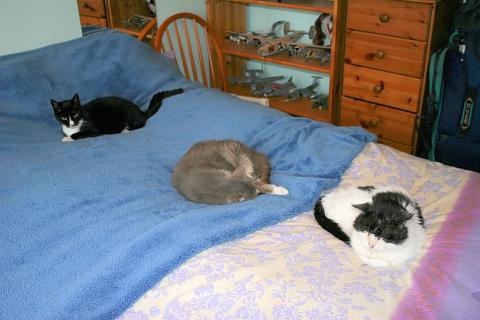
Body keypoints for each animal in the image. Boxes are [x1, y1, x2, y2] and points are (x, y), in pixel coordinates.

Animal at [50, 89, 182, 141]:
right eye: (64, 118)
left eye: (76, 114)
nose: (72, 123)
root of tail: (140, 111)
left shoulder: (95, 130)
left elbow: (78, 135)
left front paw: (67, 138)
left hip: (128, 116)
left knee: (140, 124)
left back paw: (125, 130)